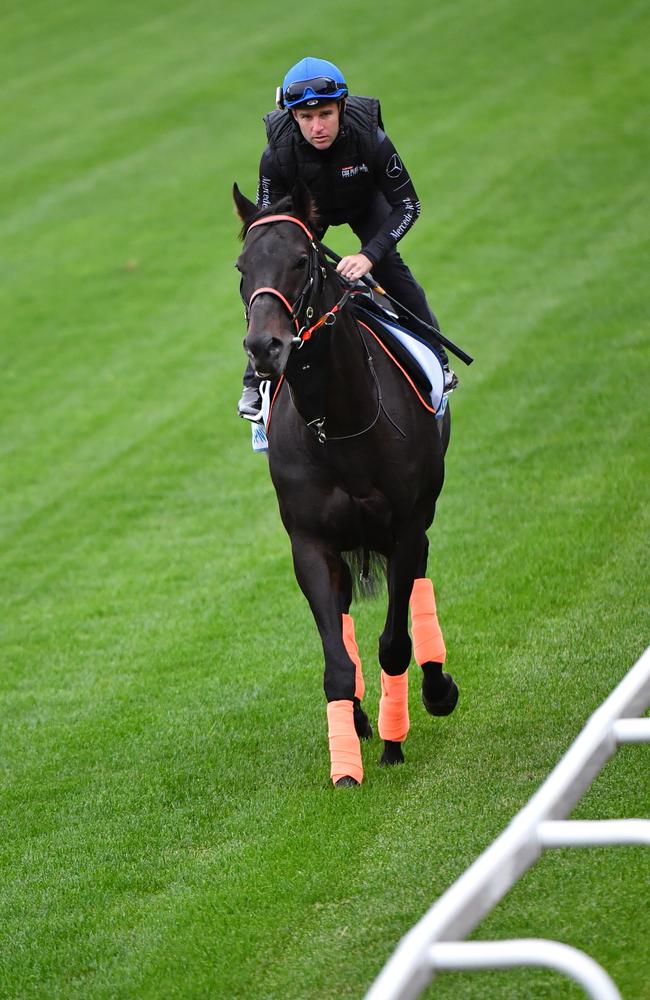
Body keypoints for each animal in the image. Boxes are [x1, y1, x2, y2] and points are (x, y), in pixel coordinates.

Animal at [232, 182, 456, 788]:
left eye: (300, 260)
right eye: (242, 266)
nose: (264, 347)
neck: (340, 425)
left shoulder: (405, 527)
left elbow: (395, 643)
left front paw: (396, 739)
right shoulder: (311, 542)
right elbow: (336, 661)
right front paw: (346, 761)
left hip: (419, 520)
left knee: (418, 584)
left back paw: (435, 687)